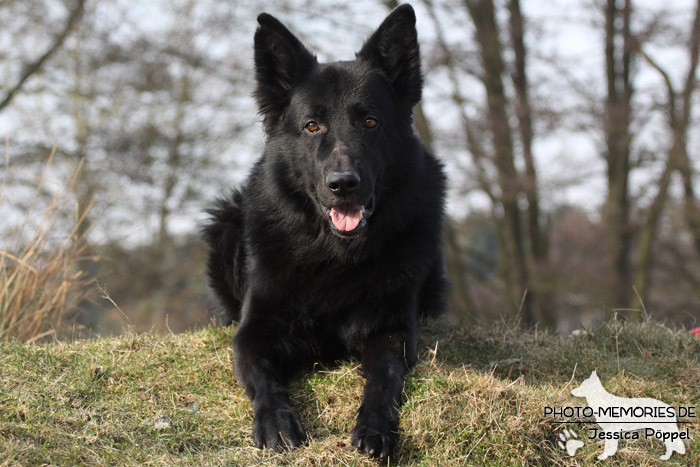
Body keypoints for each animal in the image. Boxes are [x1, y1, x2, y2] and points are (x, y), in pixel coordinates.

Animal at [202, 2, 446, 458]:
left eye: (370, 122)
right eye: (312, 126)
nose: (343, 184)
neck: (332, 256)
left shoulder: (393, 330)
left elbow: (384, 377)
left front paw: (376, 427)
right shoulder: (251, 334)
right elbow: (264, 379)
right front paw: (277, 422)